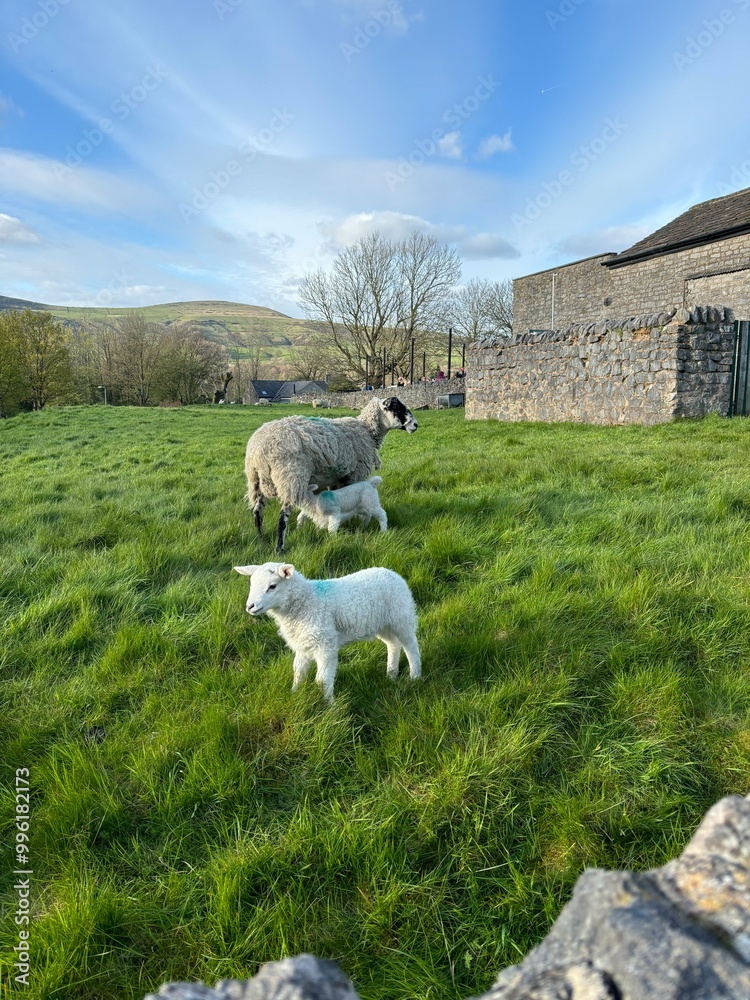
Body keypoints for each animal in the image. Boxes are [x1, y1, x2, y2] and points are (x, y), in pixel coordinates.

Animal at [234, 561, 421, 700]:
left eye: (272, 586)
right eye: (251, 584)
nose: (250, 606)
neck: (306, 603)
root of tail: (391, 573)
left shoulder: (325, 645)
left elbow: (322, 680)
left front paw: (328, 706)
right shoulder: (303, 644)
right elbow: (298, 671)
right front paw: (294, 694)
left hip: (401, 616)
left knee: (411, 646)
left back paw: (415, 676)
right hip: (383, 624)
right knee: (393, 644)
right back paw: (391, 674)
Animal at [244, 396, 417, 551]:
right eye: (397, 408)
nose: (416, 425)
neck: (366, 431)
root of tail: (258, 449)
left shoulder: (334, 479)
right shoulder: (354, 475)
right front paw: (356, 524)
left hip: (256, 481)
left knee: (257, 512)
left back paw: (262, 539)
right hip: (291, 476)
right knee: (282, 517)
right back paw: (280, 548)